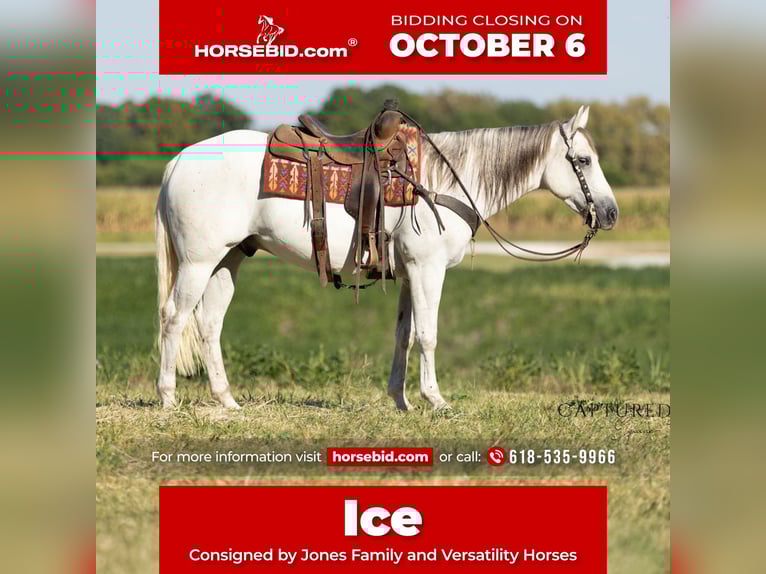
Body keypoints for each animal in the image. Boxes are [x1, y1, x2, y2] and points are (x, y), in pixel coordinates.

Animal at [155, 105, 618, 411]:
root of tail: (178, 161)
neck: (446, 180)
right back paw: (168, 398)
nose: (611, 213)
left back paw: (227, 400)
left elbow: (404, 335)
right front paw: (436, 400)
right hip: (198, 262)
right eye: (583, 159)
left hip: (228, 260)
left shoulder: (411, 273)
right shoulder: (428, 270)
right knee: (175, 318)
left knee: (209, 324)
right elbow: (428, 335)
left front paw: (401, 400)